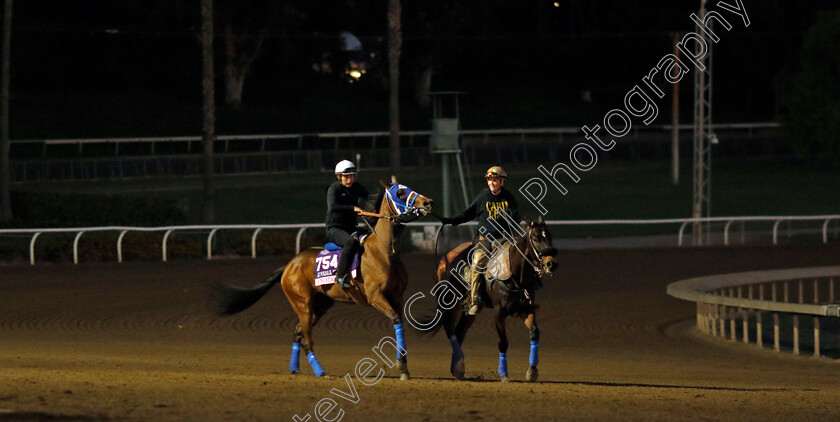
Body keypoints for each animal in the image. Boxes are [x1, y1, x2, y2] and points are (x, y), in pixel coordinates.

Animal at [215, 180, 434, 380]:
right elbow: (395, 319)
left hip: (320, 304)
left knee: (298, 331)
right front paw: (401, 366)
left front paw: (404, 368)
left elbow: (400, 323)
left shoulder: (397, 296)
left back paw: (295, 368)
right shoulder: (375, 296)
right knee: (306, 338)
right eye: (400, 193)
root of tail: (289, 265)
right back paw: (320, 371)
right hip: (302, 303)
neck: (383, 250)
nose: (428, 202)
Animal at [424, 218, 556, 382]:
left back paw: (458, 368)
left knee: (460, 331)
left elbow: (534, 332)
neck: (515, 275)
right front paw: (504, 374)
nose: (551, 264)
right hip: (450, 303)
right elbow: (503, 342)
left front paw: (532, 371)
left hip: (469, 311)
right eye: (536, 238)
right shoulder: (499, 312)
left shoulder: (525, 309)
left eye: (549, 236)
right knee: (450, 330)